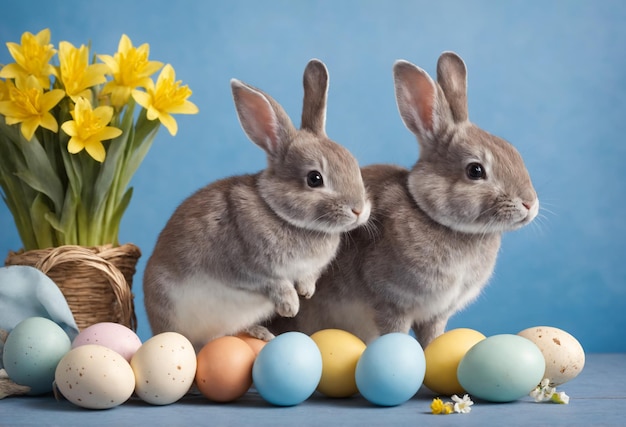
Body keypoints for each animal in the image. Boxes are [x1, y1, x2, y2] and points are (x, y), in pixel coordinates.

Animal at [144, 58, 370, 350]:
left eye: (353, 164)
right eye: (314, 178)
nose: (359, 210)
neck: (279, 213)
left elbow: (306, 278)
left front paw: (306, 291)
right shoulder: (243, 268)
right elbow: (273, 282)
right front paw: (290, 305)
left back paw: (260, 333)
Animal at [268, 52, 536, 348]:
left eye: (513, 151)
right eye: (475, 170)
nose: (530, 204)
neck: (433, 216)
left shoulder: (435, 314)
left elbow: (433, 339)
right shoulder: (391, 304)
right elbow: (396, 334)